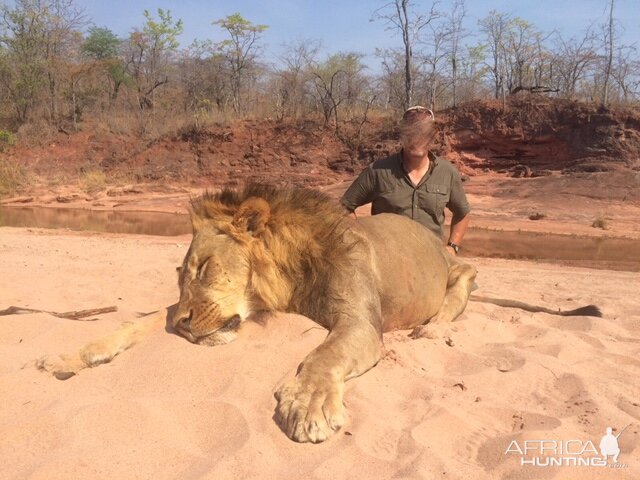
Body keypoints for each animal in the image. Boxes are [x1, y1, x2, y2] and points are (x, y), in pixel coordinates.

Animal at [37, 184, 604, 442]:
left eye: (205, 266)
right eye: (180, 273)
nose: (181, 328)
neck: (287, 277)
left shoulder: (360, 323)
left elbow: (321, 356)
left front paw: (307, 406)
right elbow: (137, 321)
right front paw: (69, 356)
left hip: (464, 270)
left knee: (452, 302)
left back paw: (431, 330)